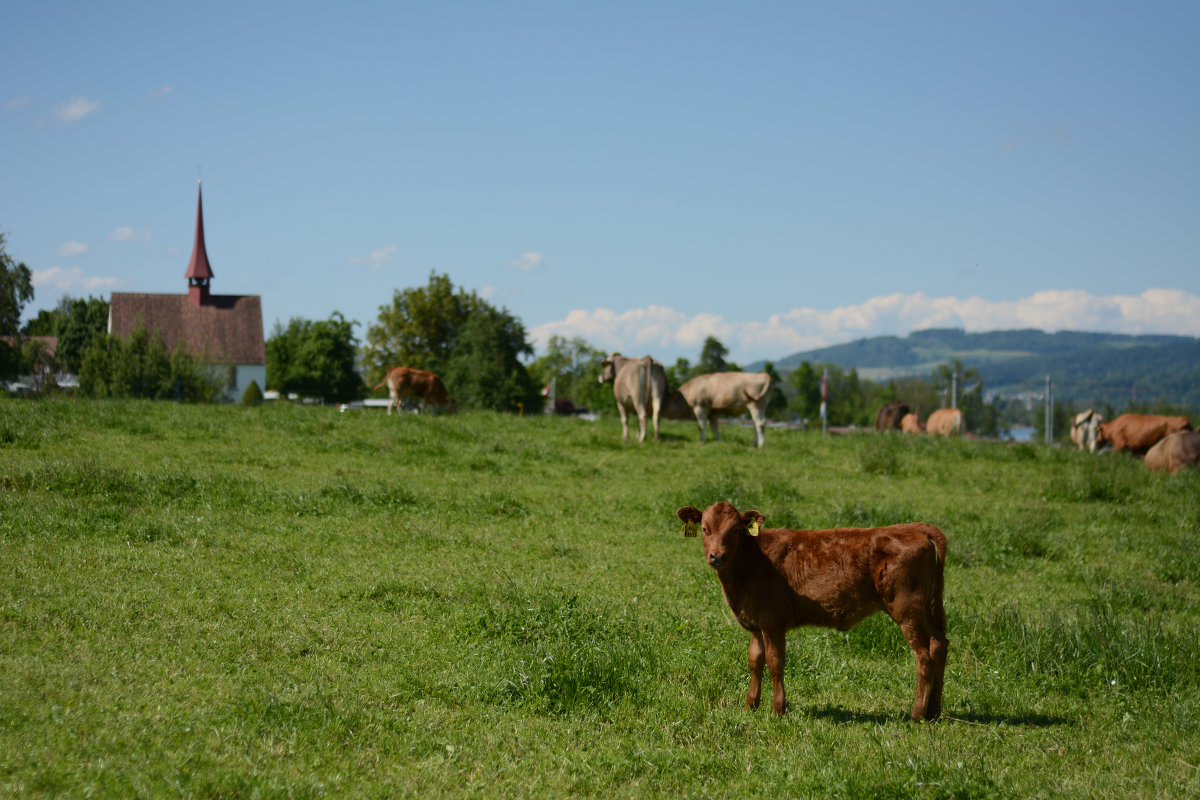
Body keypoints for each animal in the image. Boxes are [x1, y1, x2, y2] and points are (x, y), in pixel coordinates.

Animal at [676, 503, 945, 724]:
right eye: (704, 529)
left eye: (735, 531)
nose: (717, 556)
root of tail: (913, 528)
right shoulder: (754, 622)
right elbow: (755, 661)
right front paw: (750, 706)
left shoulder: (773, 622)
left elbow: (775, 662)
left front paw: (778, 710)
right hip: (923, 609)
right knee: (940, 643)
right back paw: (934, 711)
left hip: (906, 607)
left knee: (924, 653)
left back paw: (917, 714)